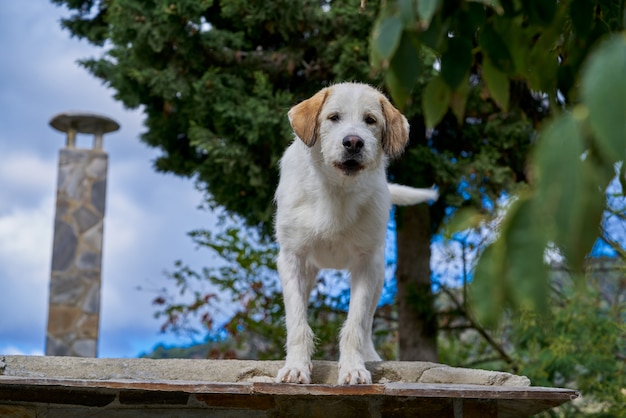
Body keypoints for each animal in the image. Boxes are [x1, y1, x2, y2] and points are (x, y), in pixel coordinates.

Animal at [276, 82, 436, 386]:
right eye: (333, 117)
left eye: (370, 120)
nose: (353, 142)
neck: (336, 192)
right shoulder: (292, 258)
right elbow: (297, 321)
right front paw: (296, 367)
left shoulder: (366, 264)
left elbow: (357, 322)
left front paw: (354, 368)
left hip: (379, 275)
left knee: (368, 321)